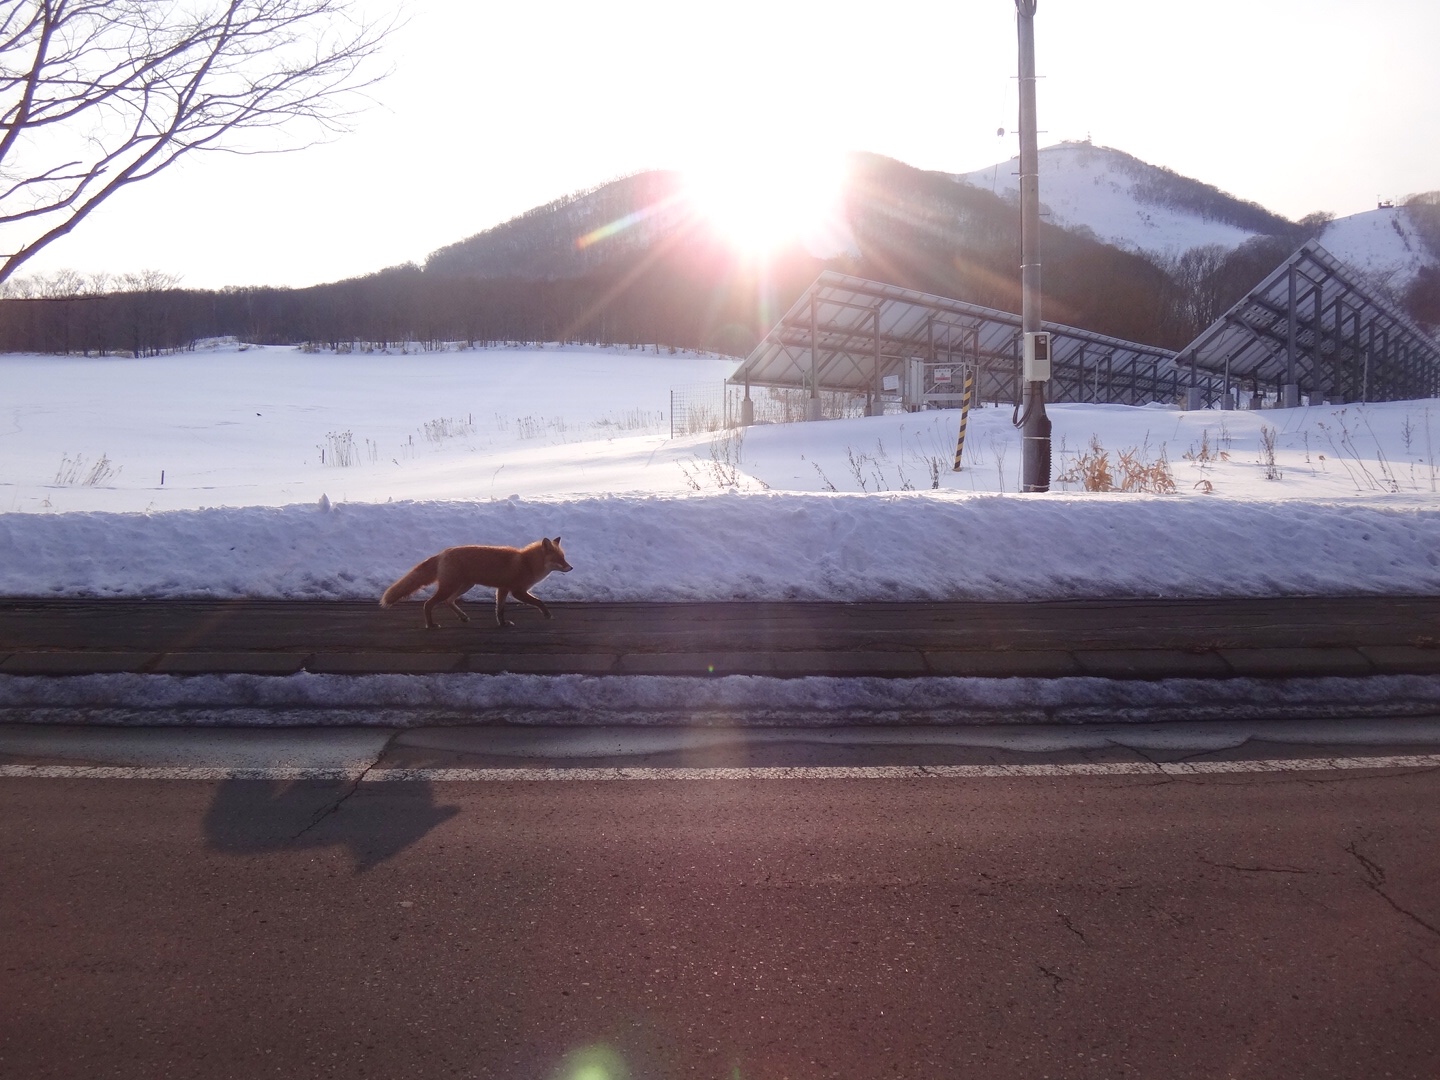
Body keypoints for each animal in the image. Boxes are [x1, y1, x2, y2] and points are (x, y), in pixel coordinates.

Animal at [383, 538, 573, 630]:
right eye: (559, 559)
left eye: (564, 558)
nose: (571, 568)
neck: (527, 563)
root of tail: (443, 553)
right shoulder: (517, 591)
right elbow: (539, 602)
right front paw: (547, 614)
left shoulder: (502, 589)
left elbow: (500, 610)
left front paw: (502, 624)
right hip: (450, 587)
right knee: (428, 604)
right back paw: (430, 625)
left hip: (465, 586)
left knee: (449, 601)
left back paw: (462, 617)